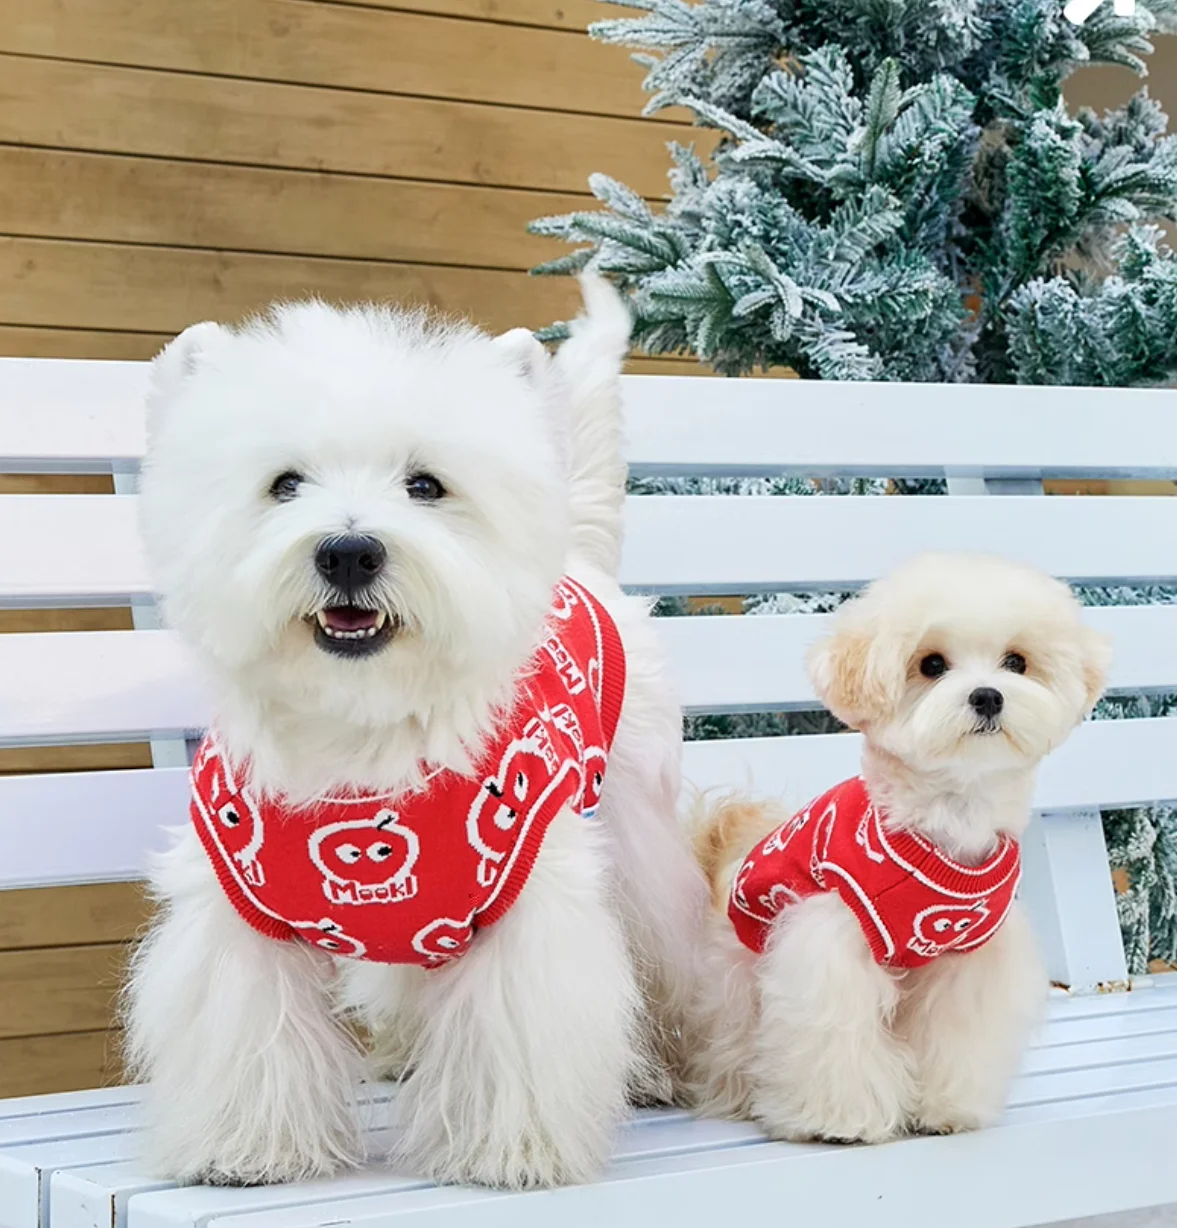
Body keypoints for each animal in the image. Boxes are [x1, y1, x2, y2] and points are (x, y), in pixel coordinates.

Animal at [125, 281, 702, 1188]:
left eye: (425, 485)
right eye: (283, 484)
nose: (349, 552)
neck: (361, 731)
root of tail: (579, 561)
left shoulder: (523, 902)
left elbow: (513, 1034)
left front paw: (510, 1152)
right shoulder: (237, 909)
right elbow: (251, 1032)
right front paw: (245, 1150)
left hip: (634, 825)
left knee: (663, 952)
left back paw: (661, 1068)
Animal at [688, 557, 1110, 1149]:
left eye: (1016, 662)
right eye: (931, 664)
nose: (987, 695)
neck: (945, 820)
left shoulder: (967, 958)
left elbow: (956, 1033)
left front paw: (948, 1108)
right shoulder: (832, 938)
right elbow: (837, 1030)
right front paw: (840, 1120)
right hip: (740, 978)